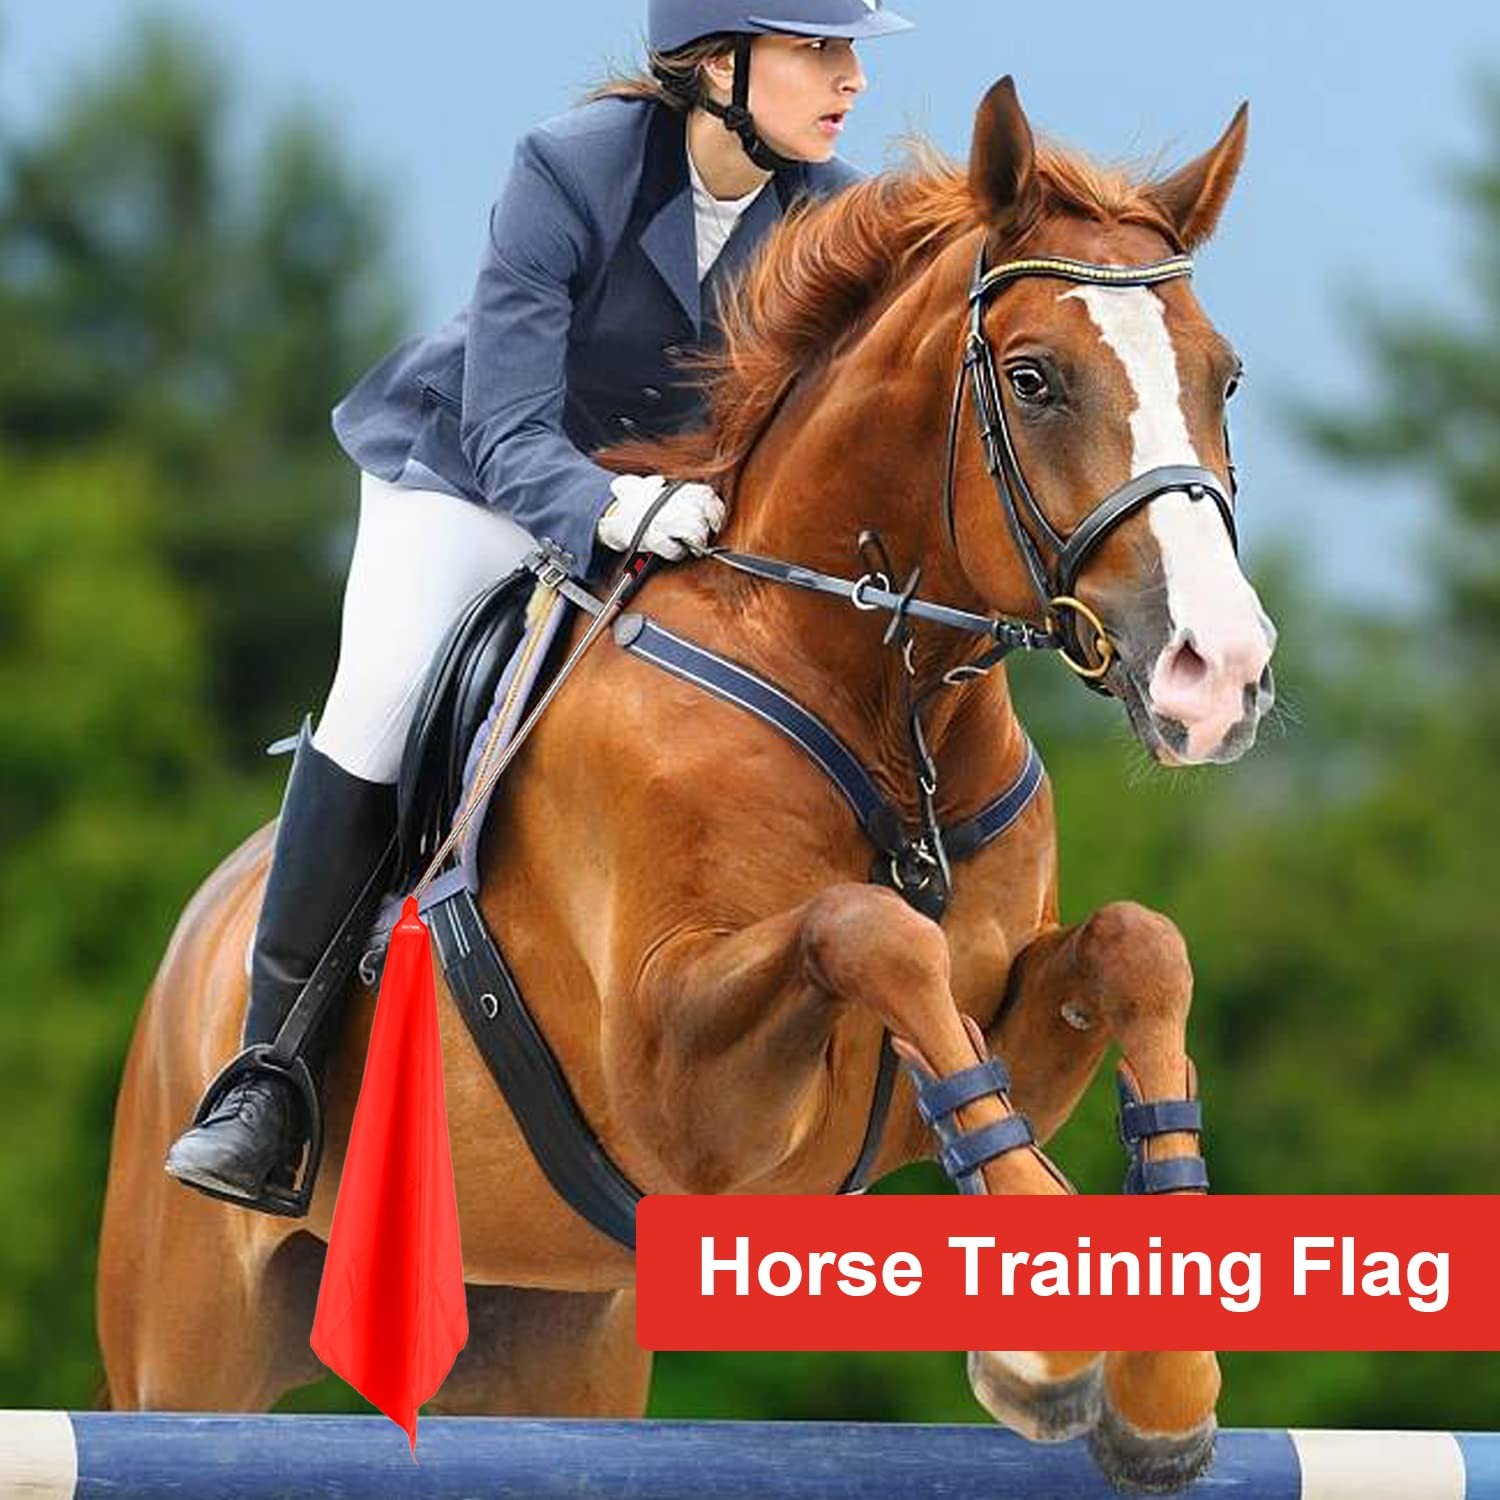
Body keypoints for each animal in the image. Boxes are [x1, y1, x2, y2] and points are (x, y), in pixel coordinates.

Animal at [98, 75, 1276, 1493]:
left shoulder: (984, 1036)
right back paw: (241, 1126)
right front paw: (1048, 1352)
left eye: (1224, 375)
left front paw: (1160, 1379)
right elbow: (865, 927)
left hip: (550, 1337)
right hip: (187, 1341)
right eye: (1035, 378)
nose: (1221, 673)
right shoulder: (676, 1091)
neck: (870, 691)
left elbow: (1139, 945)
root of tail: (193, 945)